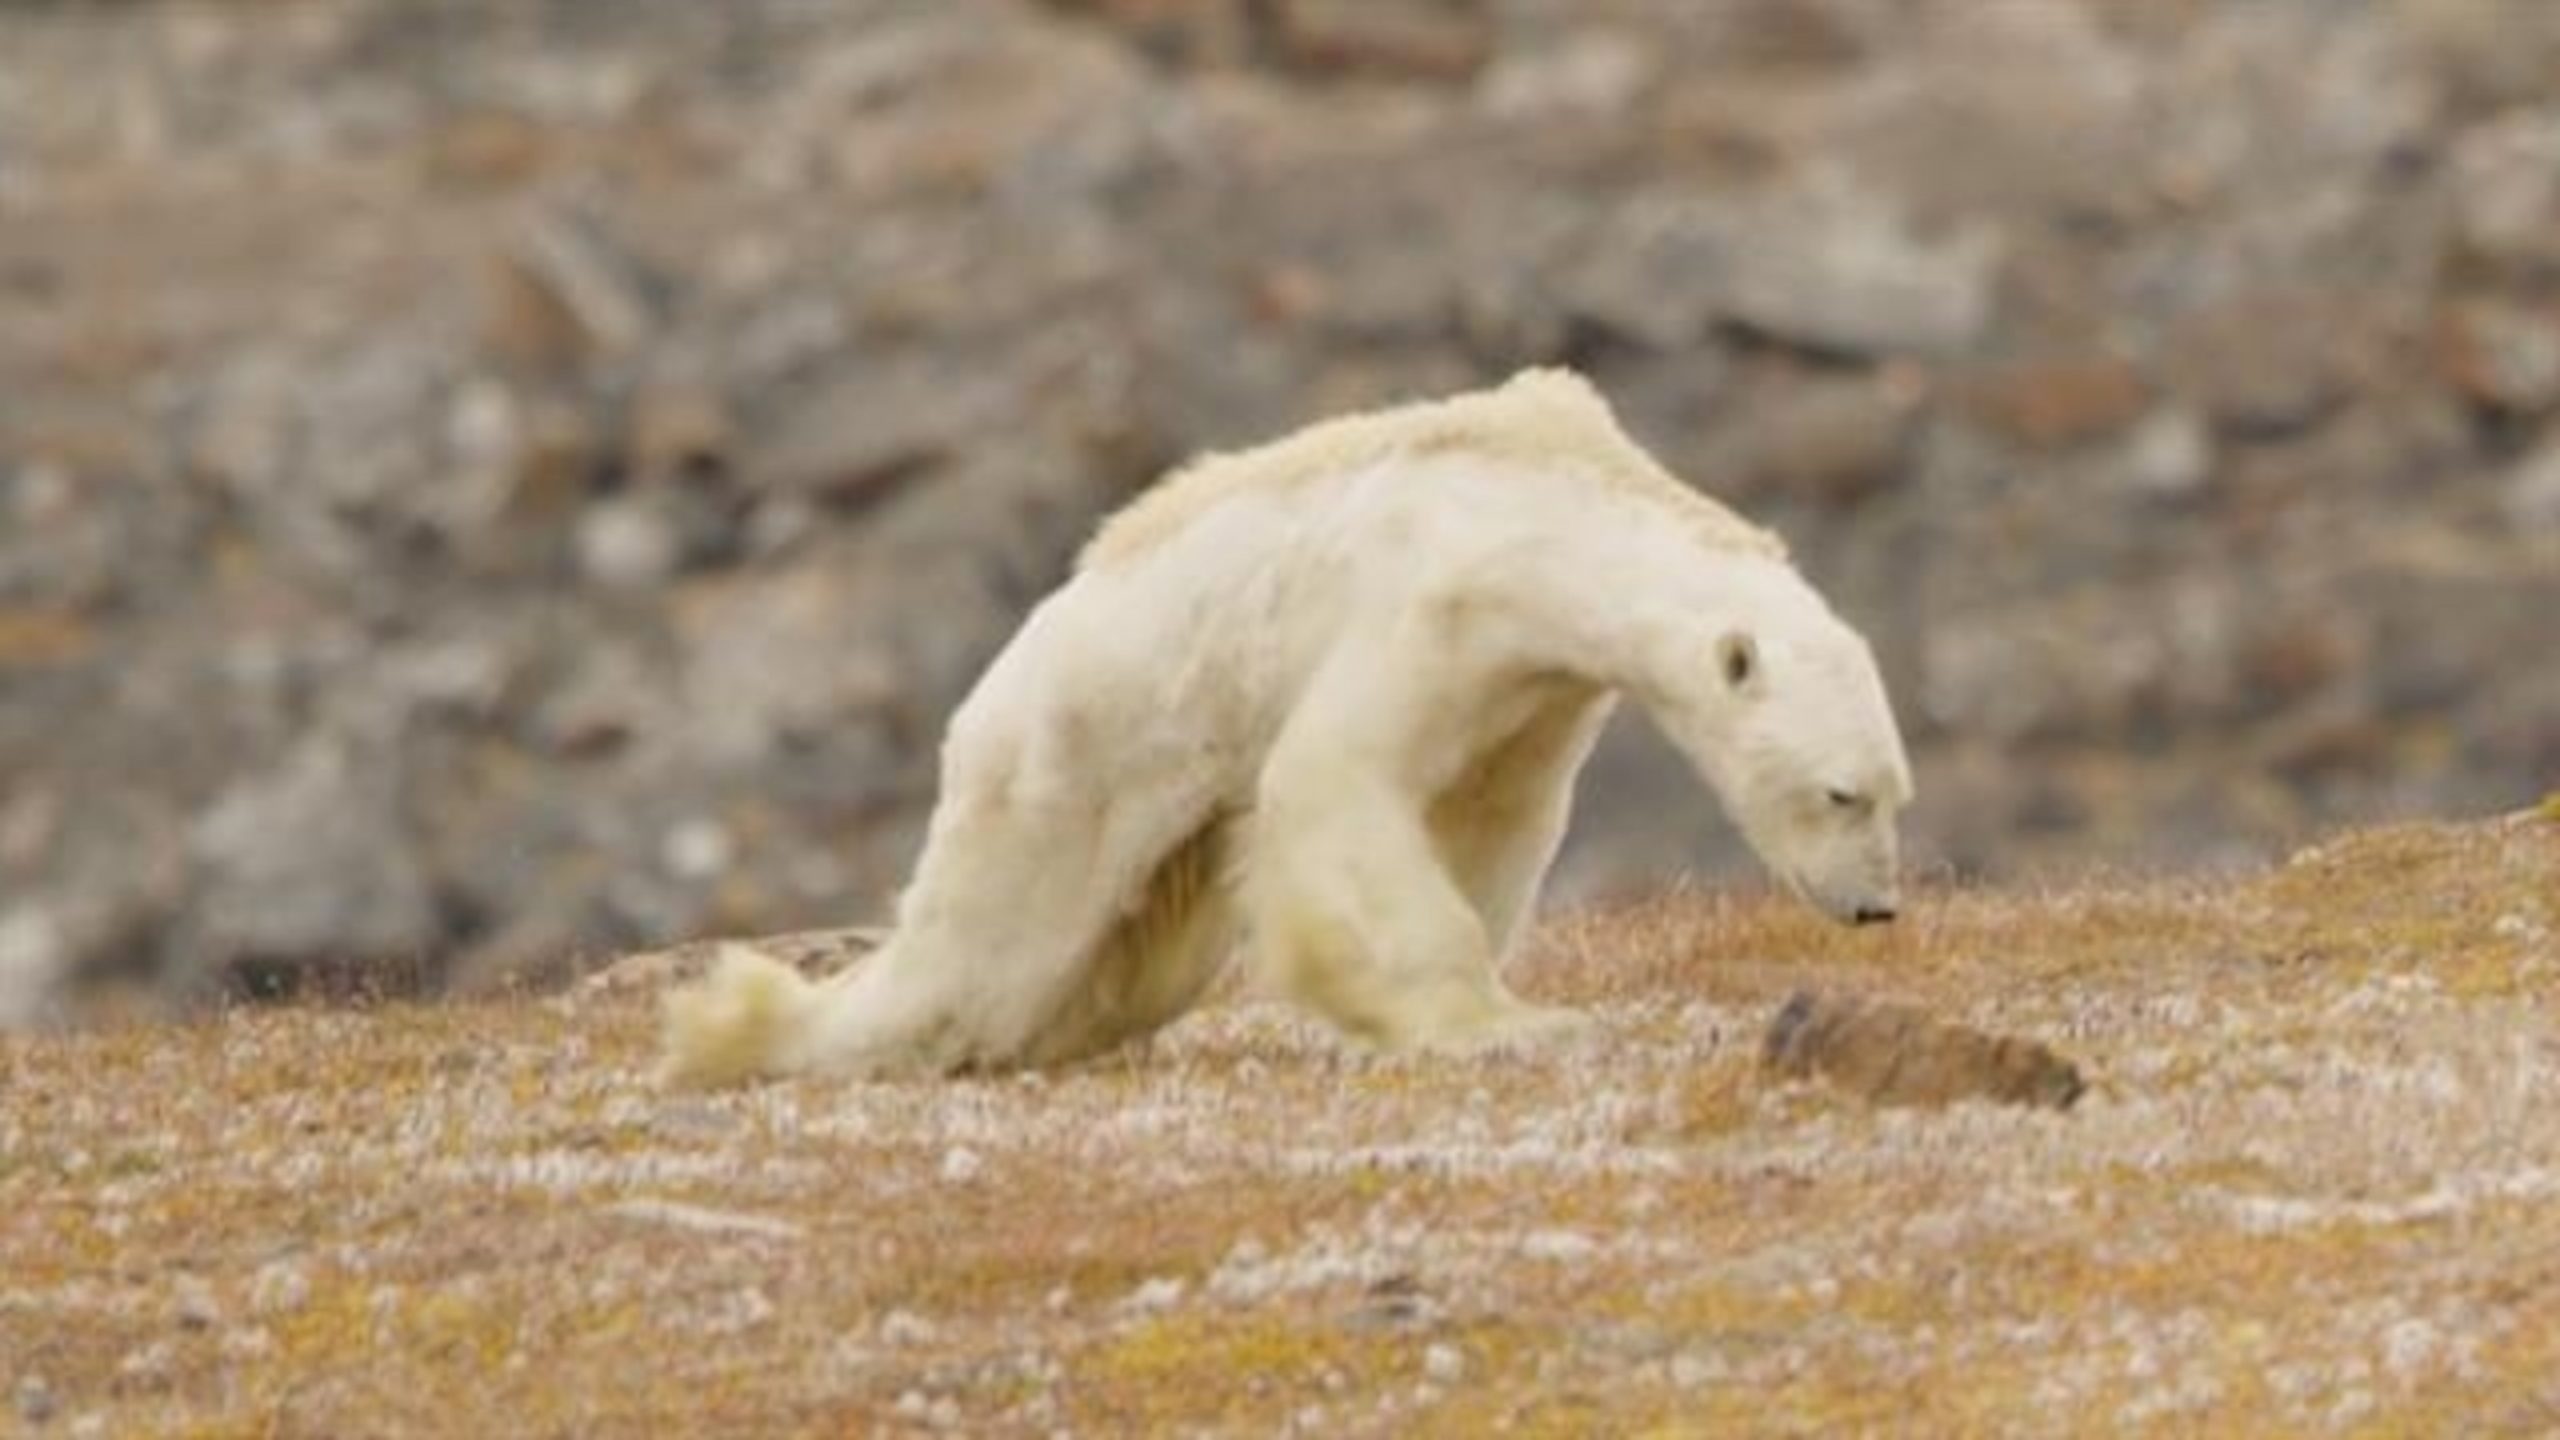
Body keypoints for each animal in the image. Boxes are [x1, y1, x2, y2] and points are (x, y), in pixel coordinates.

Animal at [670, 366, 1914, 1076]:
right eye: (1840, 792)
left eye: (1893, 794)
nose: (1875, 908)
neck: (1548, 509)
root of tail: (985, 697)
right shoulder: (1428, 603)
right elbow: (1338, 783)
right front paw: (1499, 1024)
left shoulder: (1535, 687)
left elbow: (1492, 818)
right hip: (1068, 759)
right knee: (981, 958)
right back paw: (745, 1034)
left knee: (1123, 965)